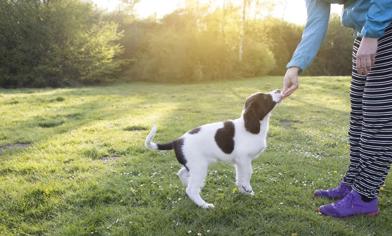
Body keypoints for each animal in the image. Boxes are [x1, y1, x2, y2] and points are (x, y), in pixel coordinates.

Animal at [144, 89, 282, 207]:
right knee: (191, 189)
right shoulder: (244, 160)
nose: (279, 90)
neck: (250, 126)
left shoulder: (239, 162)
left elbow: (239, 178)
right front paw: (247, 188)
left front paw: (244, 191)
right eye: (265, 97)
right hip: (199, 168)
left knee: (182, 174)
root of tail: (177, 141)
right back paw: (204, 205)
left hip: (192, 166)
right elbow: (247, 174)